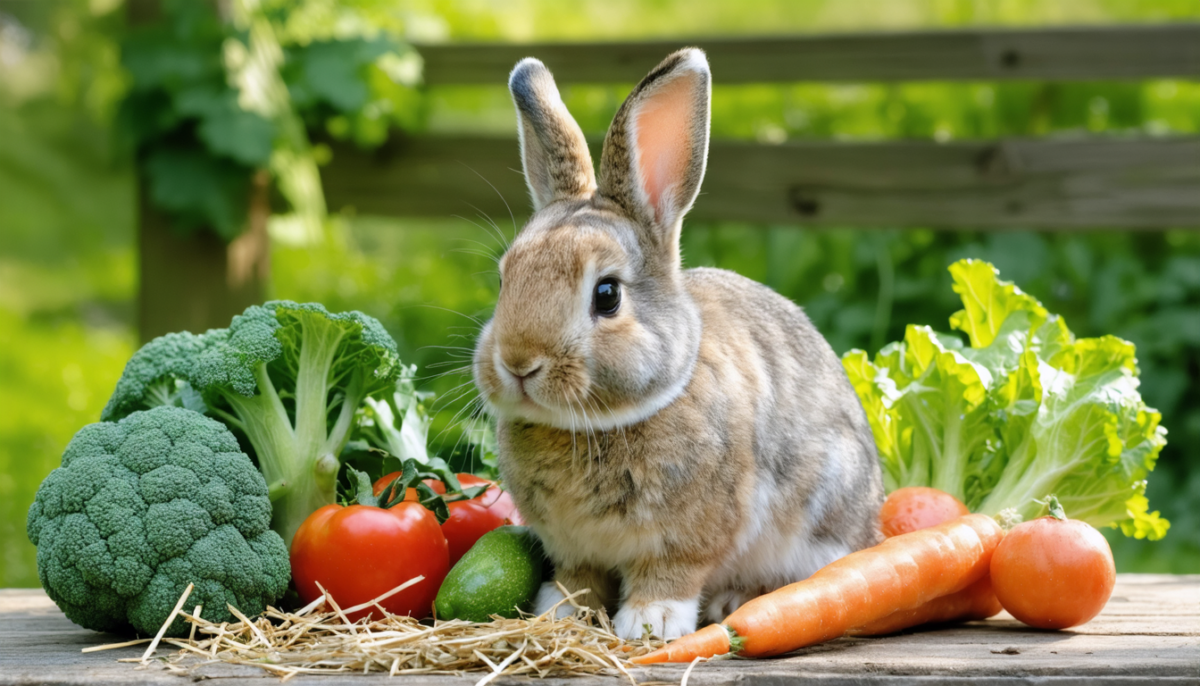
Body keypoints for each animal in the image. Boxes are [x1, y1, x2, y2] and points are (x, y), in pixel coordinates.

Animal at [472, 48, 884, 641]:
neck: (593, 425)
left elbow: (670, 574)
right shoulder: (572, 549)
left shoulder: (690, 537)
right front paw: (559, 612)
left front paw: (651, 623)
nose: (519, 363)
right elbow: (577, 580)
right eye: (505, 279)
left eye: (607, 295)